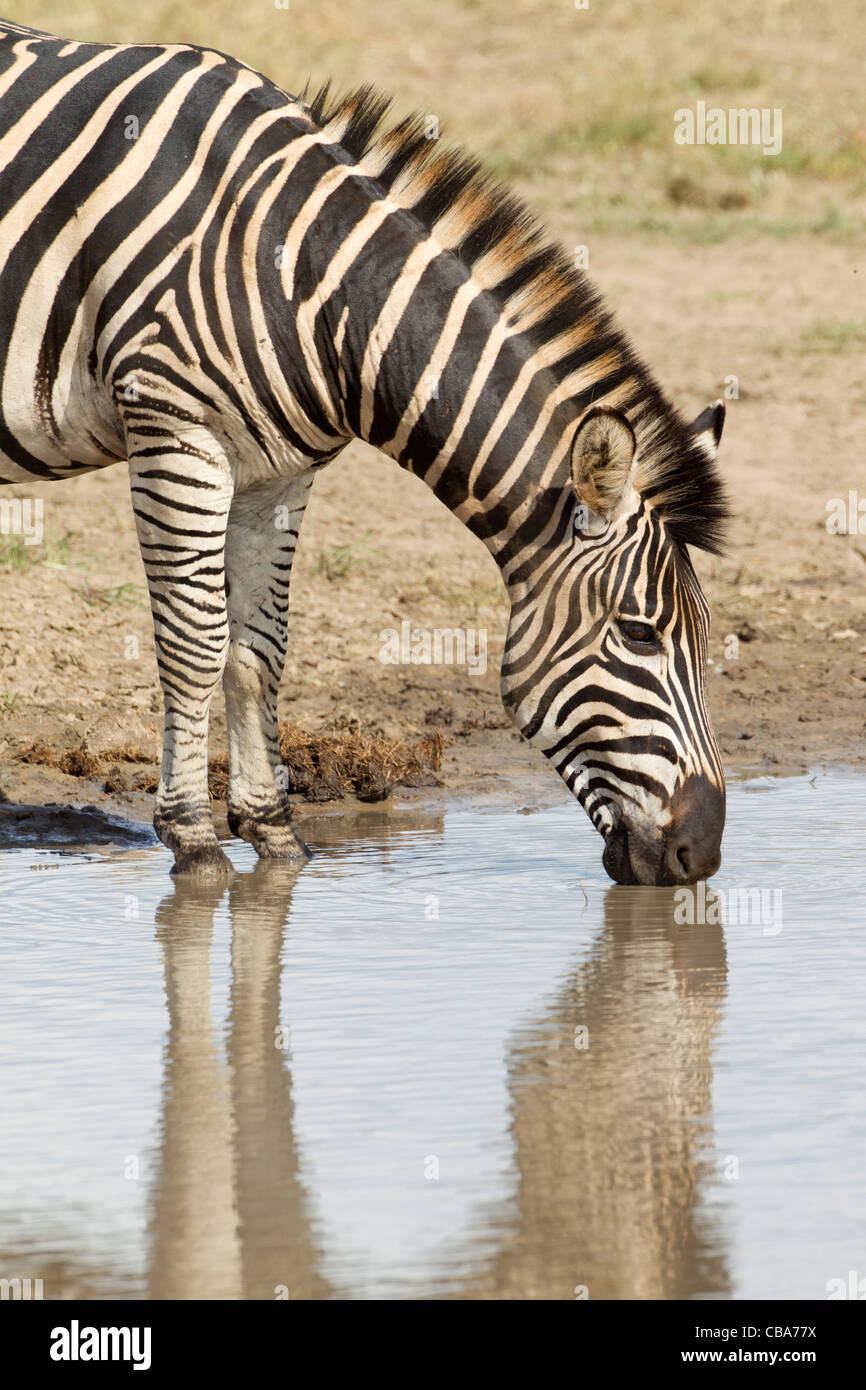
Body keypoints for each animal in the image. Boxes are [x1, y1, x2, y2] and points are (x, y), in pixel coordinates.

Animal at [0, 19, 733, 878]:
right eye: (641, 634)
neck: (306, 278)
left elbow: (259, 647)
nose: (702, 853)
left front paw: (271, 829)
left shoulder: (276, 475)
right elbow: (194, 640)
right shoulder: (175, 432)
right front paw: (192, 837)